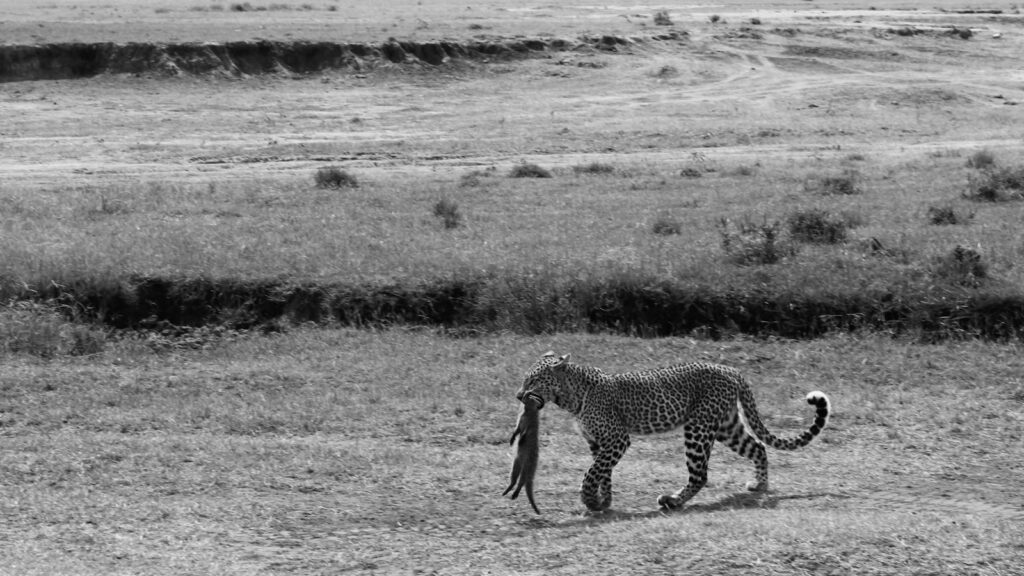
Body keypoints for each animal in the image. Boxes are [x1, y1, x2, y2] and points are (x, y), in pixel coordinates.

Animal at [515, 351, 831, 512]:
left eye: (533, 380)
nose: (519, 395)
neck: (571, 397)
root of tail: (730, 369)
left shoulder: (617, 439)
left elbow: (592, 473)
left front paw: (590, 500)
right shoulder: (597, 442)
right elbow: (603, 473)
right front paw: (603, 502)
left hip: (698, 427)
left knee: (700, 474)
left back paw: (673, 501)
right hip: (726, 425)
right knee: (758, 447)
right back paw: (760, 485)